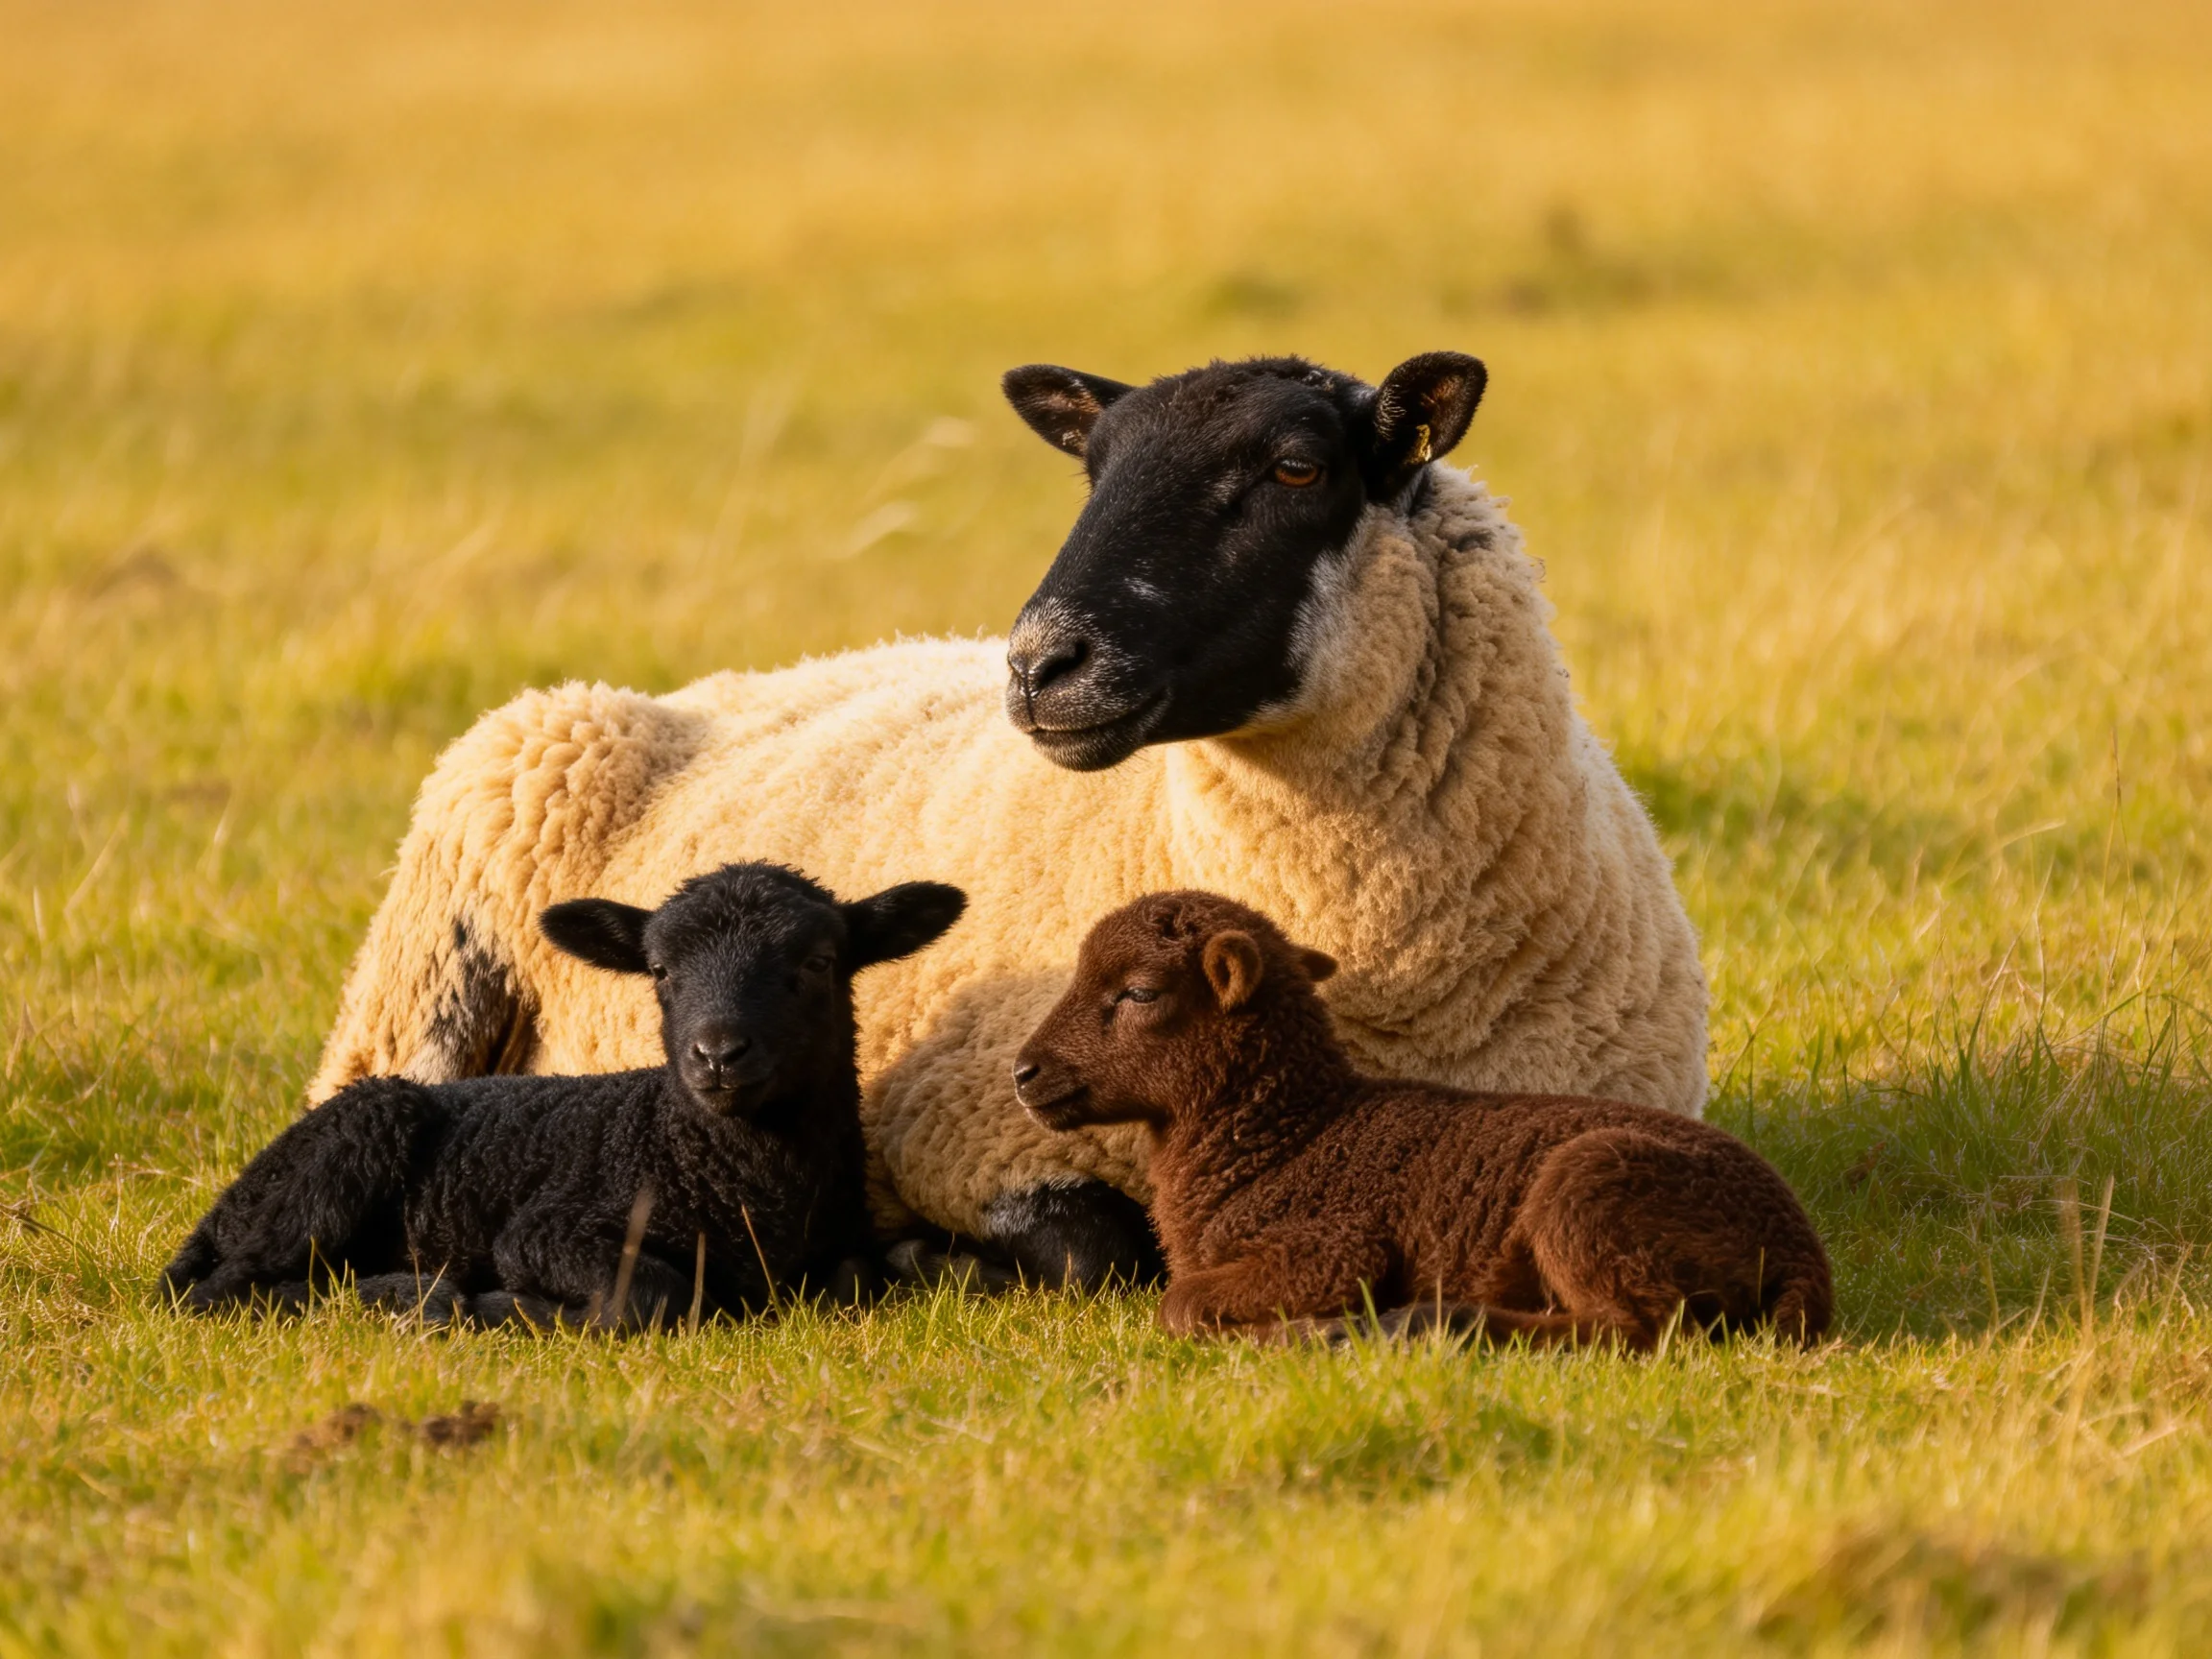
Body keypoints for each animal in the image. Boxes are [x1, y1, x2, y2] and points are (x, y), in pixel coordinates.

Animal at [162, 864, 966, 1328]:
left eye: (819, 961)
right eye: (660, 970)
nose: (716, 1054)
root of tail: (232, 1198)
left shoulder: (843, 1247)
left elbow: (856, 1281)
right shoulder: (547, 1230)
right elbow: (654, 1294)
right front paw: (508, 1305)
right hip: (355, 1139)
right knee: (225, 1290)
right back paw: (405, 1300)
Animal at [306, 351, 1709, 1289]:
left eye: (1297, 467)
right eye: (1092, 469)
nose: (1040, 665)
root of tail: (714, 680)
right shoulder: (964, 1123)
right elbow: (1101, 1252)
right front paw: (918, 1259)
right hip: (427, 968)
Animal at [1013, 891, 1831, 1349]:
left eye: (1140, 992)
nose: (1023, 1072)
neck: (1286, 1135)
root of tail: (1800, 1250)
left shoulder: (1332, 1245)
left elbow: (1179, 1304)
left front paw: (1297, 1331)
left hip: (1591, 1191)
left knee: (1643, 1331)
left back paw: (1435, 1326)